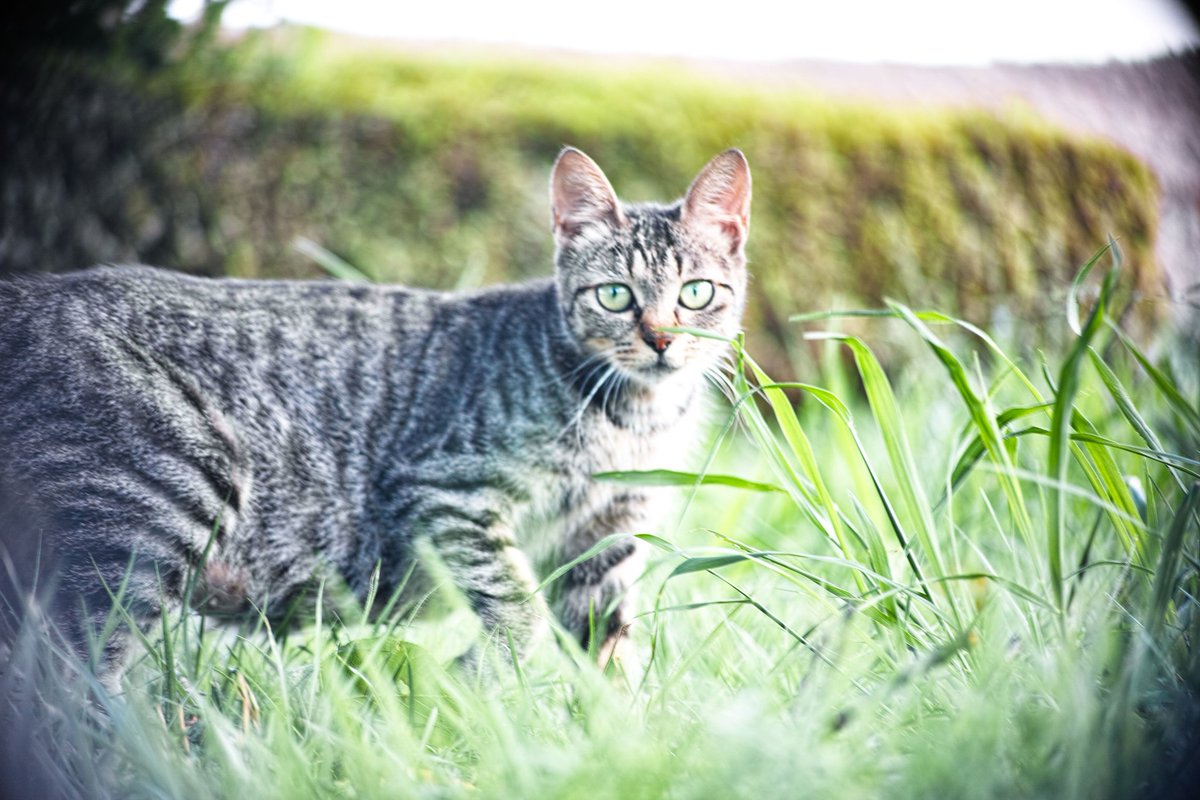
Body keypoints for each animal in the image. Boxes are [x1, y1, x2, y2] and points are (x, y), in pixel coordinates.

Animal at [0, 146, 751, 678]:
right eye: (616, 296)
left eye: (696, 292)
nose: (661, 338)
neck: (634, 421)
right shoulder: (447, 490)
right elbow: (517, 608)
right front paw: (475, 682)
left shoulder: (607, 540)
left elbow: (607, 657)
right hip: (156, 504)